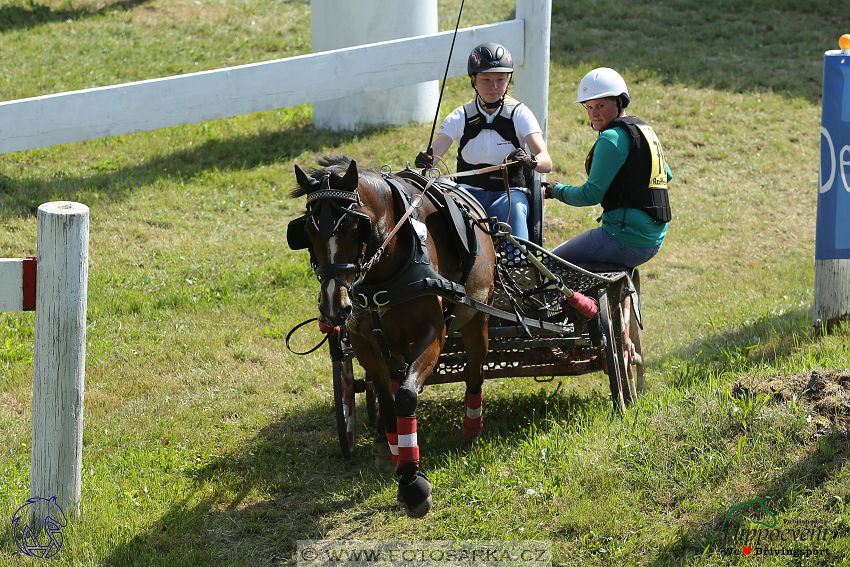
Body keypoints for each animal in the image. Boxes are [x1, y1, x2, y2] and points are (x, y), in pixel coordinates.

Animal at [288, 156, 494, 520]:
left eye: (354, 228)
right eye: (308, 232)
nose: (334, 306)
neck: (384, 272)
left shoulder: (433, 335)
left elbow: (407, 398)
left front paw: (412, 483)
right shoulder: (363, 342)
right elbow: (387, 403)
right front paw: (393, 453)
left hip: (476, 319)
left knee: (474, 372)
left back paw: (471, 429)